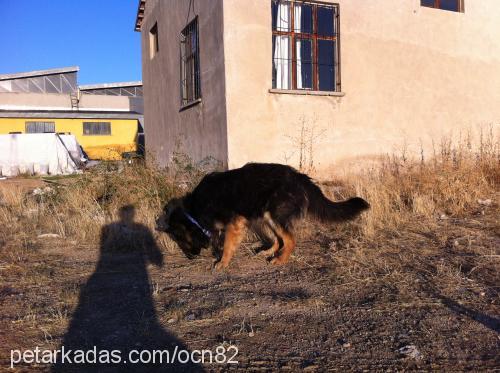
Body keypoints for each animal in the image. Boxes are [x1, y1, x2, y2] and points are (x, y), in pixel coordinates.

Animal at [158, 163, 370, 270]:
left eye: (178, 238)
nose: (190, 258)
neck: (195, 209)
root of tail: (300, 177)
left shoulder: (234, 223)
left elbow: (227, 245)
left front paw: (222, 262)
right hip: (266, 215)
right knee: (279, 239)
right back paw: (269, 252)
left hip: (274, 214)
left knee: (290, 240)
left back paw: (280, 260)